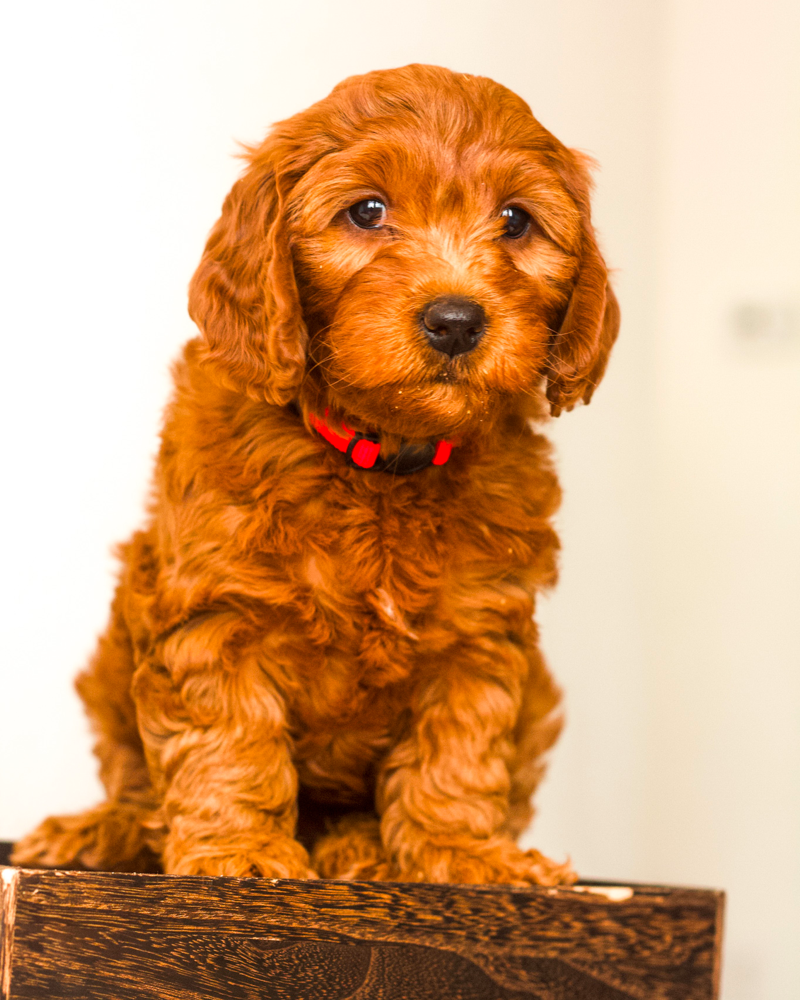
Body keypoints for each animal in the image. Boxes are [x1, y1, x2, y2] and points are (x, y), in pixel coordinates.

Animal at [12, 64, 620, 884]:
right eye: (367, 211)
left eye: (517, 222)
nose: (457, 320)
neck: (381, 459)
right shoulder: (215, 610)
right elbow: (228, 735)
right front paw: (241, 852)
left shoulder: (479, 633)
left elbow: (458, 753)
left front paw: (467, 855)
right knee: (134, 783)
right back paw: (97, 829)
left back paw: (359, 846)